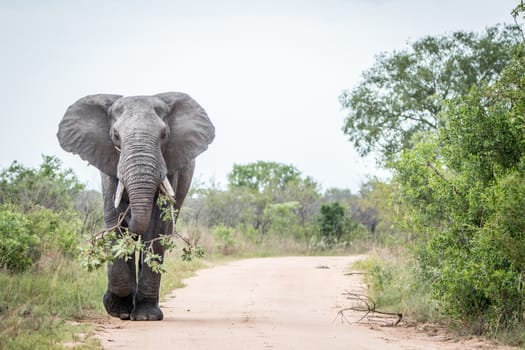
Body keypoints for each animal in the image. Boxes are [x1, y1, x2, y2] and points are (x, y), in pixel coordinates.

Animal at [56, 92, 213, 320]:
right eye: (115, 135)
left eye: (164, 134)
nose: (130, 217)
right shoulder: (109, 165)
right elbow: (114, 222)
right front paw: (117, 310)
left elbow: (156, 228)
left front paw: (145, 316)